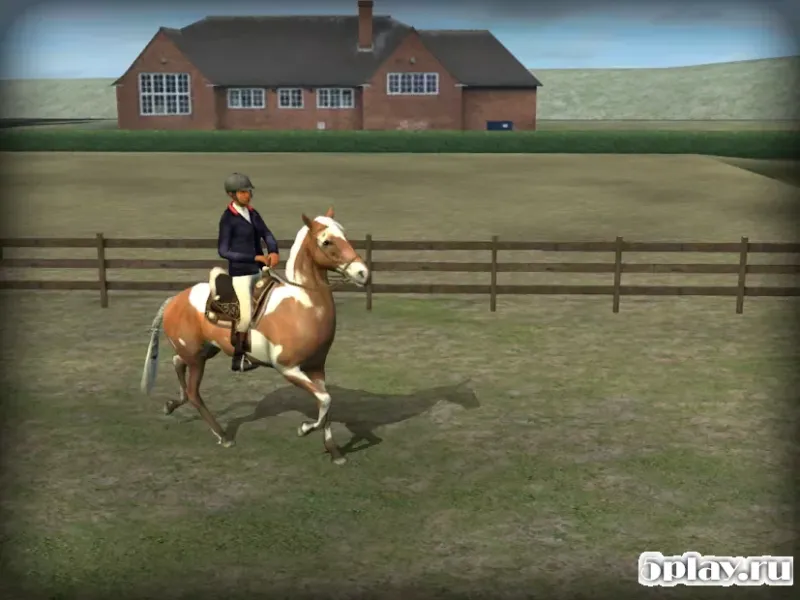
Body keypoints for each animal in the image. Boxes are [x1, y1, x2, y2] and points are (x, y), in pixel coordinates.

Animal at [139, 207, 370, 465]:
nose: (363, 273)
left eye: (344, 234)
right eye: (326, 241)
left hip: (203, 351)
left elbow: (325, 403)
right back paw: (223, 436)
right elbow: (325, 400)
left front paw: (334, 451)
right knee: (193, 392)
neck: (302, 305)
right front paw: (304, 429)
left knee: (177, 363)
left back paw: (171, 404)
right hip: (197, 359)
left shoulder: (317, 368)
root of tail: (174, 300)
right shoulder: (288, 369)